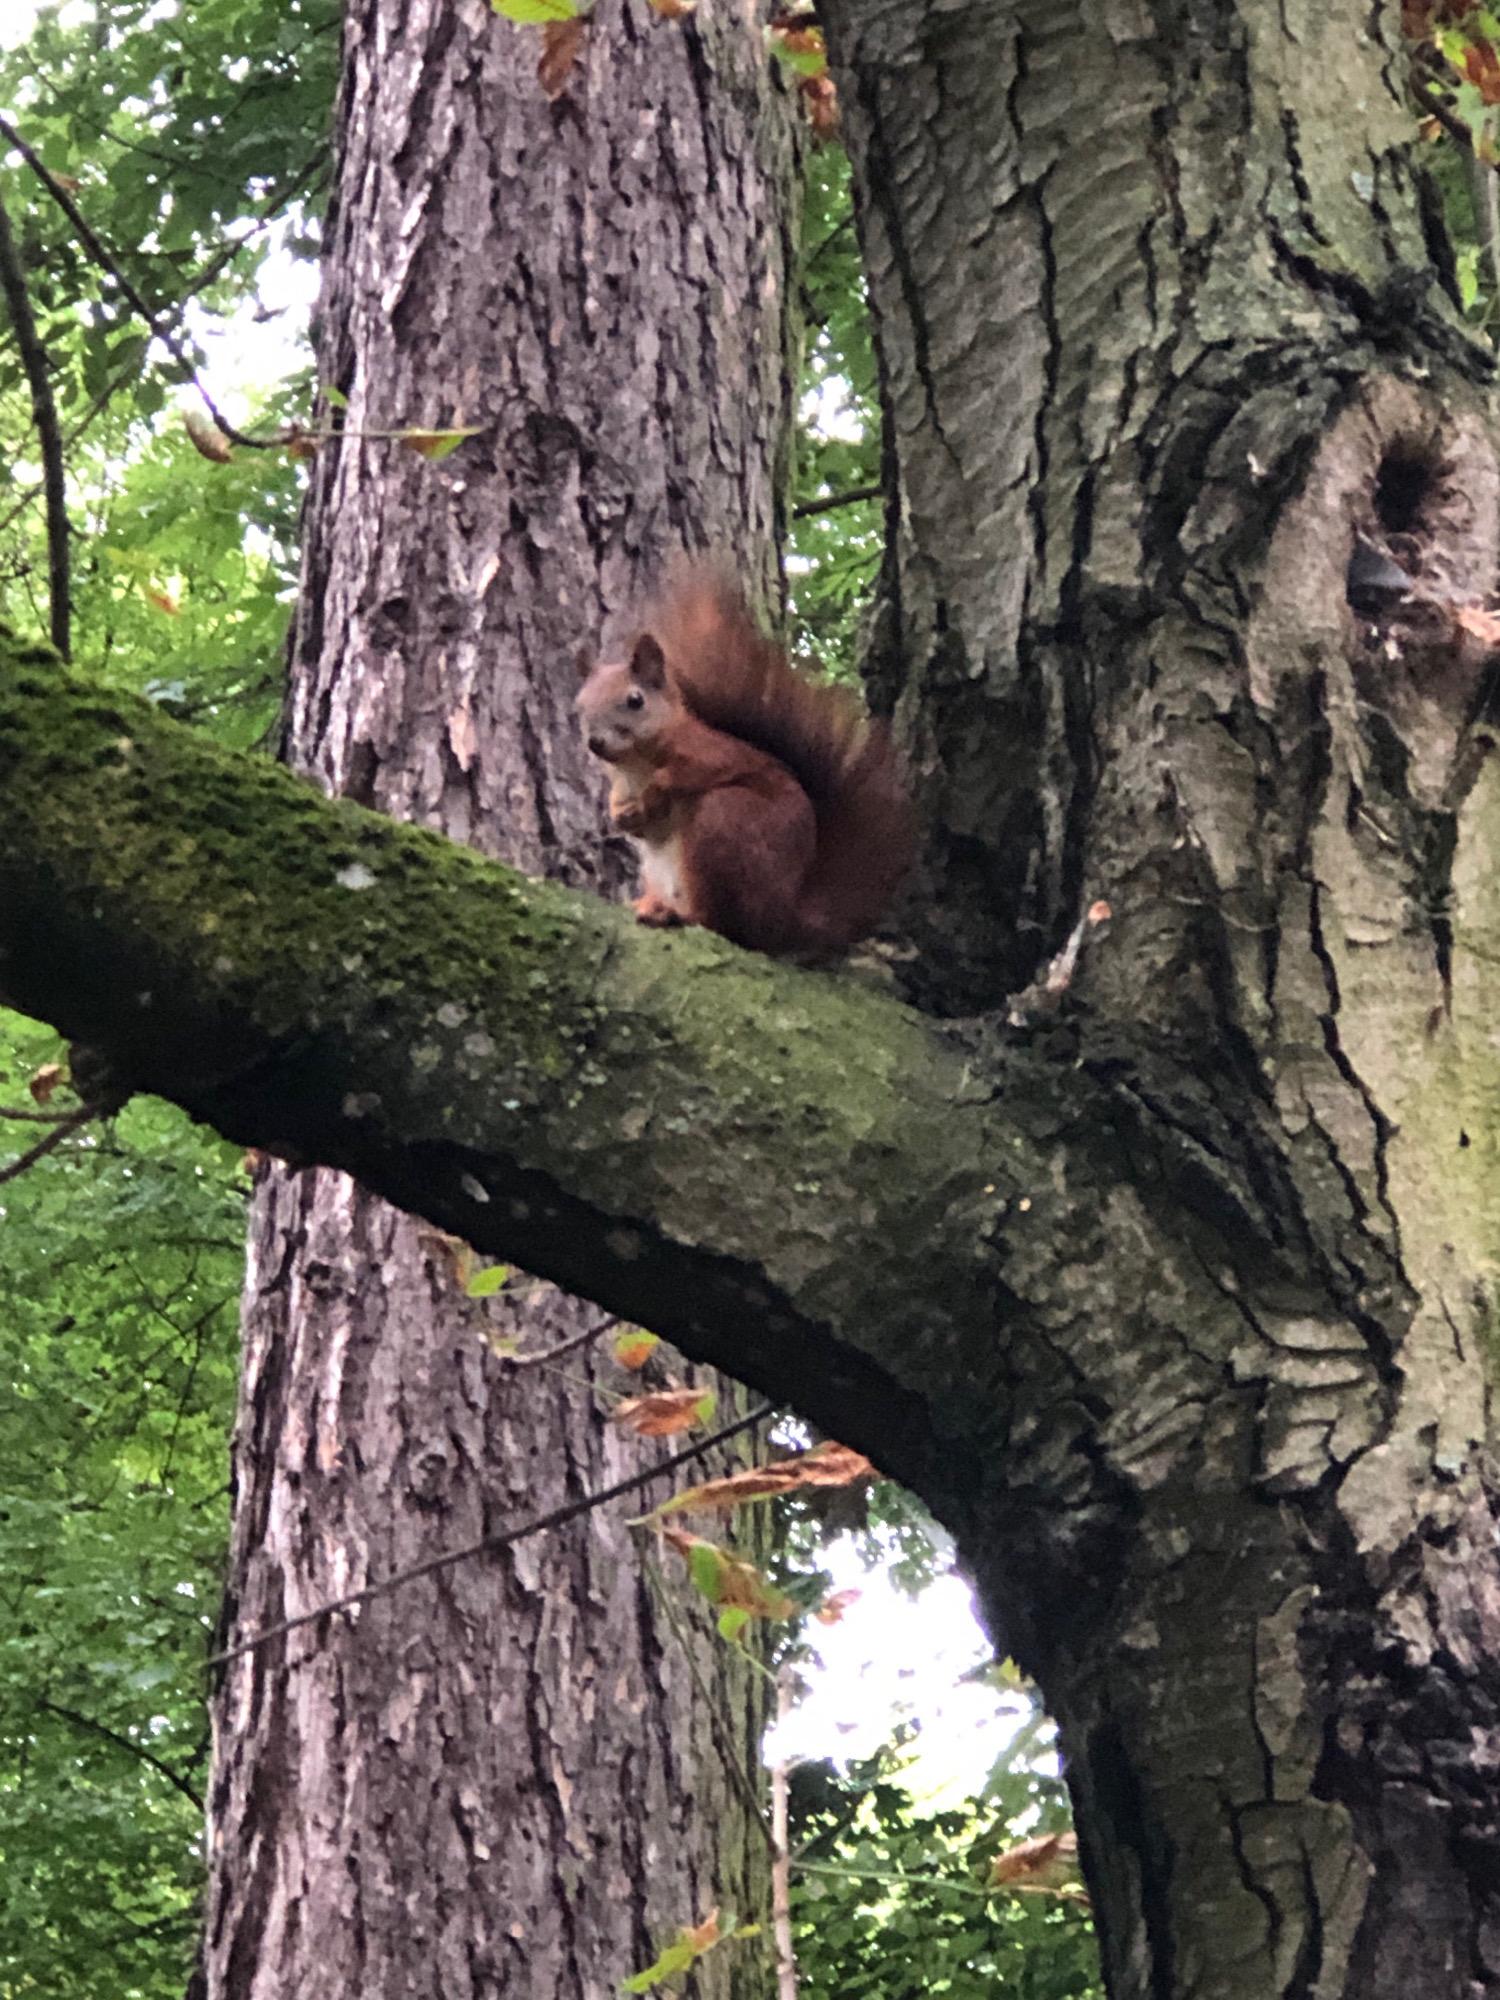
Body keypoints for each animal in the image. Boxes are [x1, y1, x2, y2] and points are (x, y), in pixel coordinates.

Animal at [577, 571, 913, 961]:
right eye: (580, 704)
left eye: (635, 700)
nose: (595, 742)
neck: (634, 766)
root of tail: (784, 921)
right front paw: (621, 815)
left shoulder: (712, 752)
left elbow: (688, 774)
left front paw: (656, 793)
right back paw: (648, 904)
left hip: (726, 821)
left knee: (723, 924)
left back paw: (676, 914)